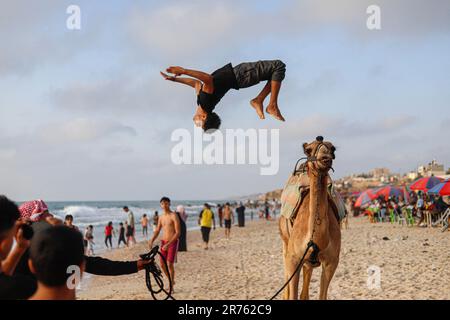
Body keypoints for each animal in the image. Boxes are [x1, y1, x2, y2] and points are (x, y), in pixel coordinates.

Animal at [278, 137, 342, 300]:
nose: (325, 158)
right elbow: (292, 295)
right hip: (285, 244)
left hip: (308, 262)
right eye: (308, 150)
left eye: (333, 148)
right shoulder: (293, 259)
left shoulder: (332, 262)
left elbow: (322, 296)